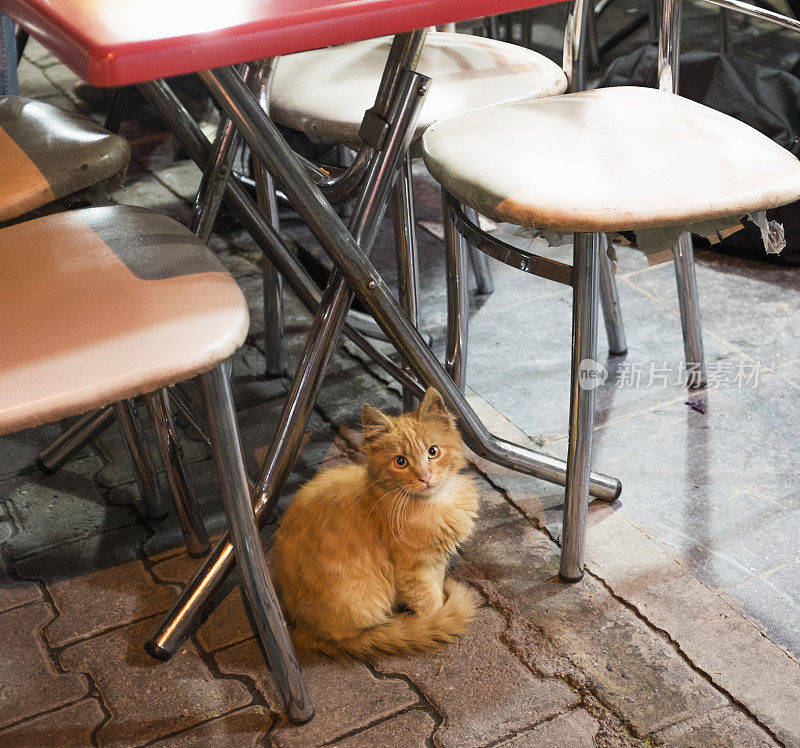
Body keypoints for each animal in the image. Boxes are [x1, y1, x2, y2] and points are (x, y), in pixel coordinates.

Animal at [268, 388, 482, 656]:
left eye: (433, 452)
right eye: (400, 461)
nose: (425, 477)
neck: (434, 502)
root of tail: (305, 632)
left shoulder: (435, 561)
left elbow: (436, 585)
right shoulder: (414, 569)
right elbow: (429, 603)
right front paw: (441, 617)